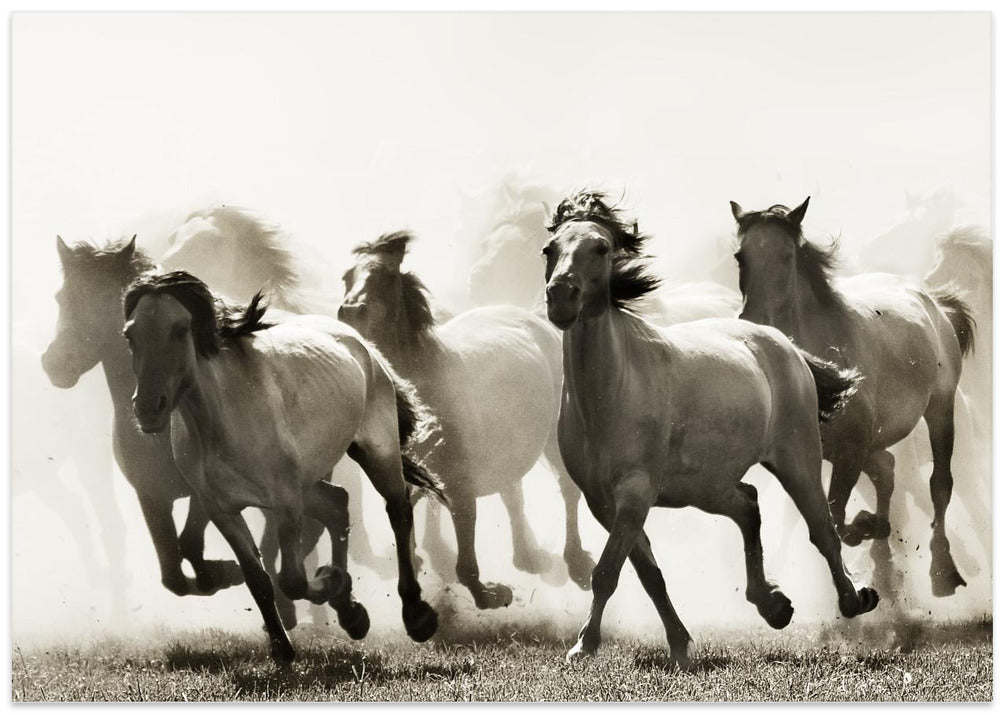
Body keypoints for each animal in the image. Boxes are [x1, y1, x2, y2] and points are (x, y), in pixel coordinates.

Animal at [122, 270, 443, 662]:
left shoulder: (285, 499)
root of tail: (361, 344)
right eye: (130, 334)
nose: (147, 408)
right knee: (338, 504)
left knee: (397, 510)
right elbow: (257, 578)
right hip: (308, 481)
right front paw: (282, 647)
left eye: (181, 329)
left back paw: (416, 615)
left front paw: (329, 581)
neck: (222, 419)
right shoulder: (221, 508)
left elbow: (290, 578)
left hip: (376, 452)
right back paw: (351, 614)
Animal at [338, 231, 597, 609]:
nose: (349, 312)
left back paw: (576, 563)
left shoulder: (460, 483)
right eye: (347, 277)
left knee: (567, 489)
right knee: (512, 493)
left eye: (385, 277)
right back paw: (528, 557)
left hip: (552, 437)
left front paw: (489, 593)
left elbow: (465, 557)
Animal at [542, 190, 878, 664]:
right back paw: (773, 605)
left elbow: (607, 571)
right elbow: (648, 574)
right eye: (549, 250)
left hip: (797, 461)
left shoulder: (635, 492)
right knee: (749, 504)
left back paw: (854, 599)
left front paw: (583, 646)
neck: (610, 393)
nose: (561, 297)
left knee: (823, 530)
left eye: (602, 248)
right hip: (706, 486)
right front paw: (679, 645)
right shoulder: (602, 502)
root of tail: (785, 344)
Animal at [730, 197, 975, 599]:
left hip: (940, 408)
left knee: (939, 484)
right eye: (740, 256)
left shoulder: (851, 449)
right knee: (887, 470)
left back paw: (942, 571)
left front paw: (865, 530)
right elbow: (834, 516)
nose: (754, 320)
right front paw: (870, 530)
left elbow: (837, 516)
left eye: (787, 255)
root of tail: (934, 303)